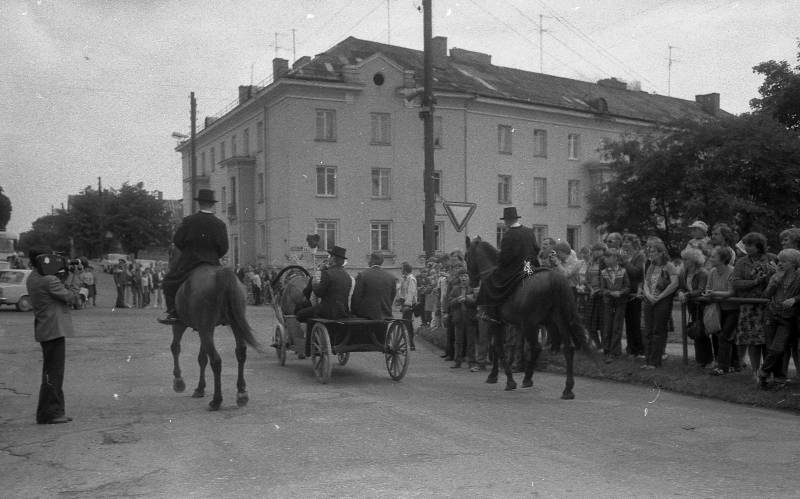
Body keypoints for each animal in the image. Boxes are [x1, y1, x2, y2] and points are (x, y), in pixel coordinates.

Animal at [169, 264, 262, 412]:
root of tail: (222, 275)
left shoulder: (181, 324)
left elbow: (175, 348)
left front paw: (179, 381)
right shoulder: (203, 330)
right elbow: (202, 358)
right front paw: (200, 388)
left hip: (204, 327)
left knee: (216, 360)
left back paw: (216, 400)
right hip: (233, 324)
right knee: (240, 353)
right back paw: (241, 393)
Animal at [466, 236, 592, 400]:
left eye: (466, 257)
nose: (471, 283)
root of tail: (554, 278)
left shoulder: (495, 321)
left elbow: (498, 348)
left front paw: (509, 381)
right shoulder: (502, 323)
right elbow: (496, 347)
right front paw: (493, 376)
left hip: (530, 324)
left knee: (536, 347)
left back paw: (527, 378)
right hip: (559, 321)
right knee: (568, 349)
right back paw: (567, 389)